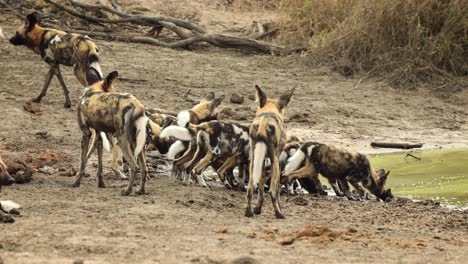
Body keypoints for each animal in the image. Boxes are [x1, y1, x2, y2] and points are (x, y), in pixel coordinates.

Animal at [245, 84, 292, 219]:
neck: (268, 112)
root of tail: (263, 122)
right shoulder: (275, 159)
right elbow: (277, 189)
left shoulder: (260, 160)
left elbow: (260, 188)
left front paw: (257, 209)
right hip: (275, 161)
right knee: (272, 191)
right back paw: (279, 214)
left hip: (253, 161)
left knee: (250, 188)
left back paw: (248, 212)